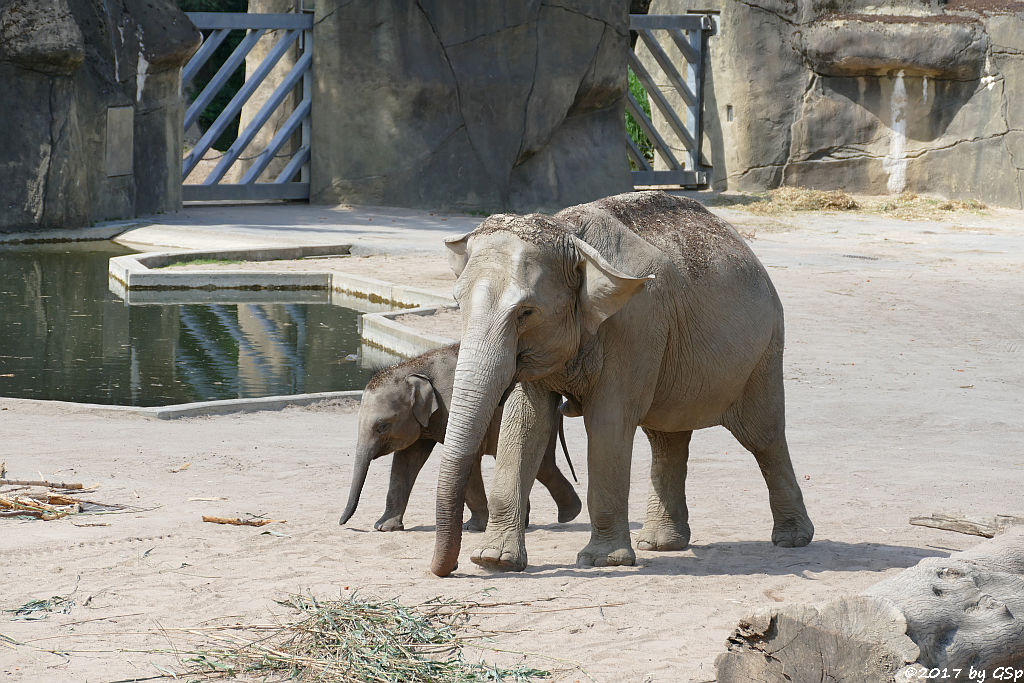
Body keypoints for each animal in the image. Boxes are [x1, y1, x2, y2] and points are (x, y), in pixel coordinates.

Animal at [339, 344, 581, 532]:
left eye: (382, 426)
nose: (342, 523)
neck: (415, 367)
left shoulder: (453, 409)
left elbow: (467, 461)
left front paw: (473, 527)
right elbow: (405, 462)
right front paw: (384, 527)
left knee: (542, 464)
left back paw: (569, 514)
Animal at [428, 192, 811, 577]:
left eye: (526, 313)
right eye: (457, 303)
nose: (446, 569)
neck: (569, 235)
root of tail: (744, 246)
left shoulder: (636, 324)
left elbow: (608, 423)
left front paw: (602, 561)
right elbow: (524, 422)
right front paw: (494, 561)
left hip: (764, 351)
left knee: (762, 436)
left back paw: (792, 539)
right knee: (667, 438)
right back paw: (660, 544)